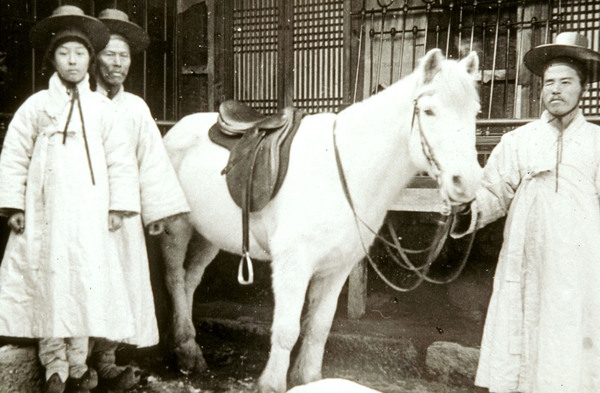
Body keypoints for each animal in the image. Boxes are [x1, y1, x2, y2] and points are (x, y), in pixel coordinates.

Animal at [159, 49, 482, 392]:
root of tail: (174, 130)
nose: (467, 182)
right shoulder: (293, 265)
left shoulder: (338, 267)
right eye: (430, 111)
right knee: (175, 279)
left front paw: (308, 379)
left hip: (209, 236)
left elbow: (319, 328)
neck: (343, 170)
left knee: (190, 279)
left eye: (475, 113)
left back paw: (189, 347)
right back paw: (185, 350)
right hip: (176, 229)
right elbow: (287, 330)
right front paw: (271, 383)